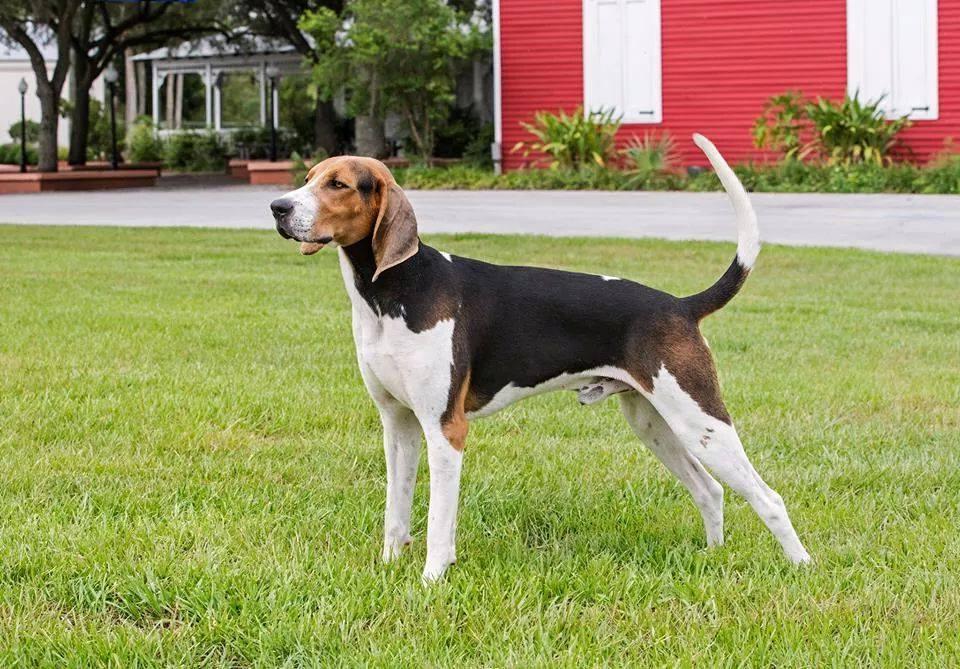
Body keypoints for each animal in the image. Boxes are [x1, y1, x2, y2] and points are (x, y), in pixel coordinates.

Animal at [268, 134, 808, 580]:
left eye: (337, 184)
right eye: (308, 176)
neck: (391, 293)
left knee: (769, 498)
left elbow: (439, 520)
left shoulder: (445, 430)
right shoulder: (398, 426)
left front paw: (431, 580)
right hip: (656, 423)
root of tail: (679, 305)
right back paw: (713, 556)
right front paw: (388, 567)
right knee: (709, 490)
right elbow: (395, 512)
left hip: (702, 421)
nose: (277, 206)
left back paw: (802, 568)